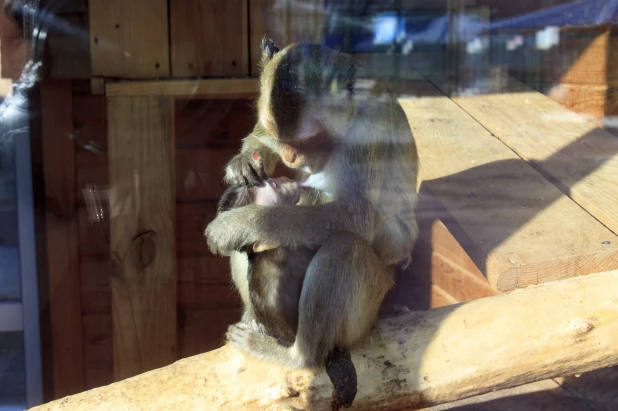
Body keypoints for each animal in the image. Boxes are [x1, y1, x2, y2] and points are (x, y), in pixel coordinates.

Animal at [205, 38, 416, 408]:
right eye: (282, 140)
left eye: (306, 140)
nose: (290, 157)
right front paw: (244, 162)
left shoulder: (371, 129)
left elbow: (355, 215)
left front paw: (243, 222)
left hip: (367, 308)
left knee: (343, 246)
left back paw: (300, 355)